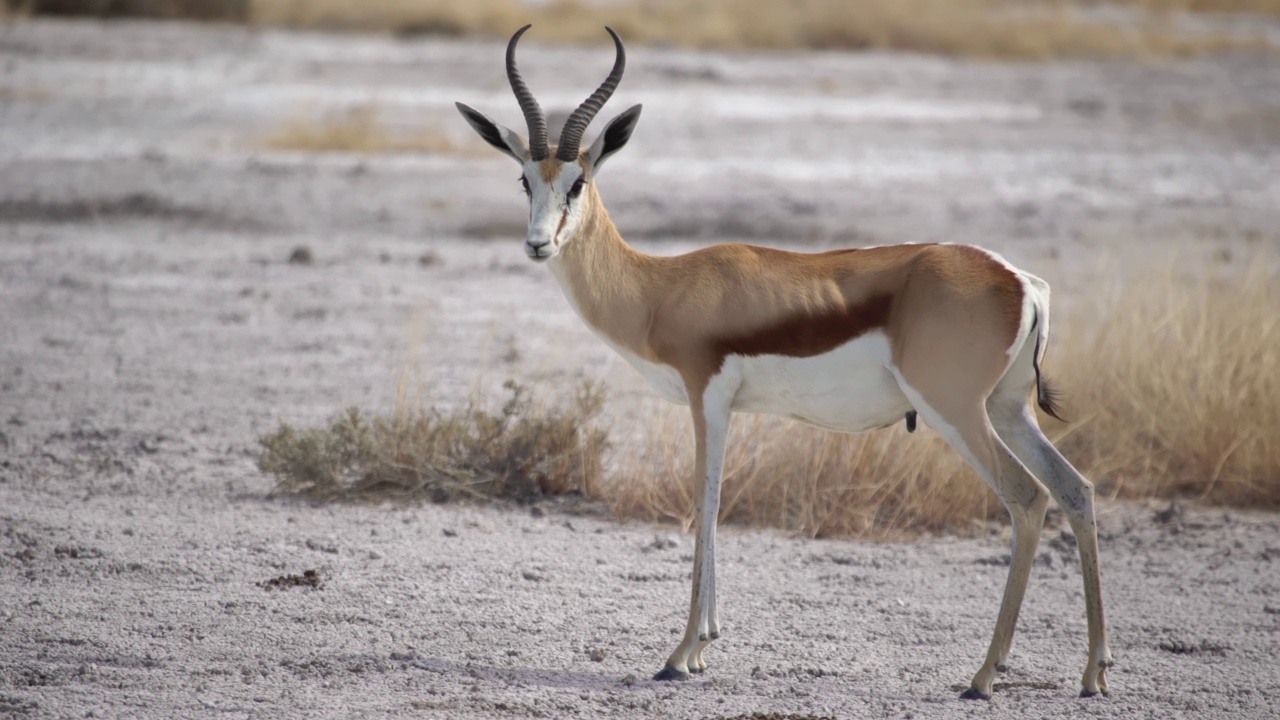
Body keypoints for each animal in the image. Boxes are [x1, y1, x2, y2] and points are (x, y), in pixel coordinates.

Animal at [458, 26, 1111, 696]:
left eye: (578, 183)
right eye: (525, 180)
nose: (538, 244)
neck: (661, 288)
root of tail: (1020, 280)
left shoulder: (706, 398)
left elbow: (705, 502)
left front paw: (680, 654)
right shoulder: (726, 407)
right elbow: (715, 504)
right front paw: (702, 649)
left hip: (954, 410)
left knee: (1027, 498)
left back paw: (983, 675)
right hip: (1005, 409)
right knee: (1076, 489)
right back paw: (1093, 672)